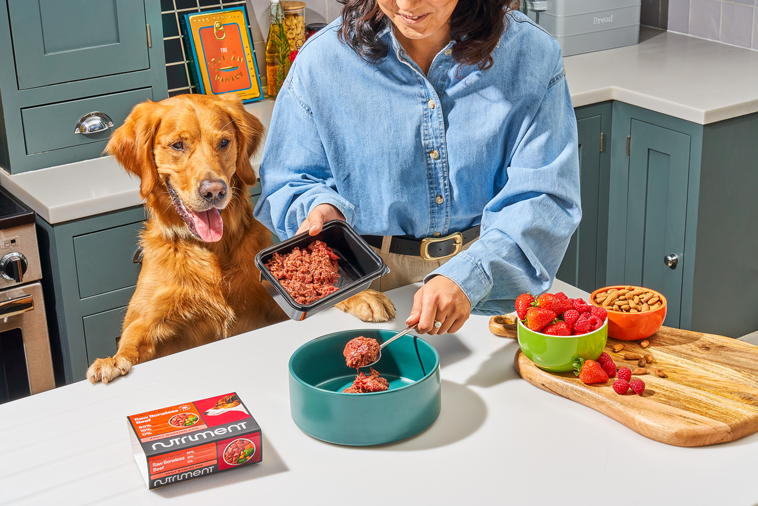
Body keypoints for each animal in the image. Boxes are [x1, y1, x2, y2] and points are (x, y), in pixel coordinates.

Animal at [87, 93, 398, 384]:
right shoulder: (148, 320)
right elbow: (132, 339)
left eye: (224, 142)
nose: (214, 191)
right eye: (177, 145)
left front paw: (362, 295)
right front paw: (112, 361)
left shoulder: (271, 306)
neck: (210, 251)